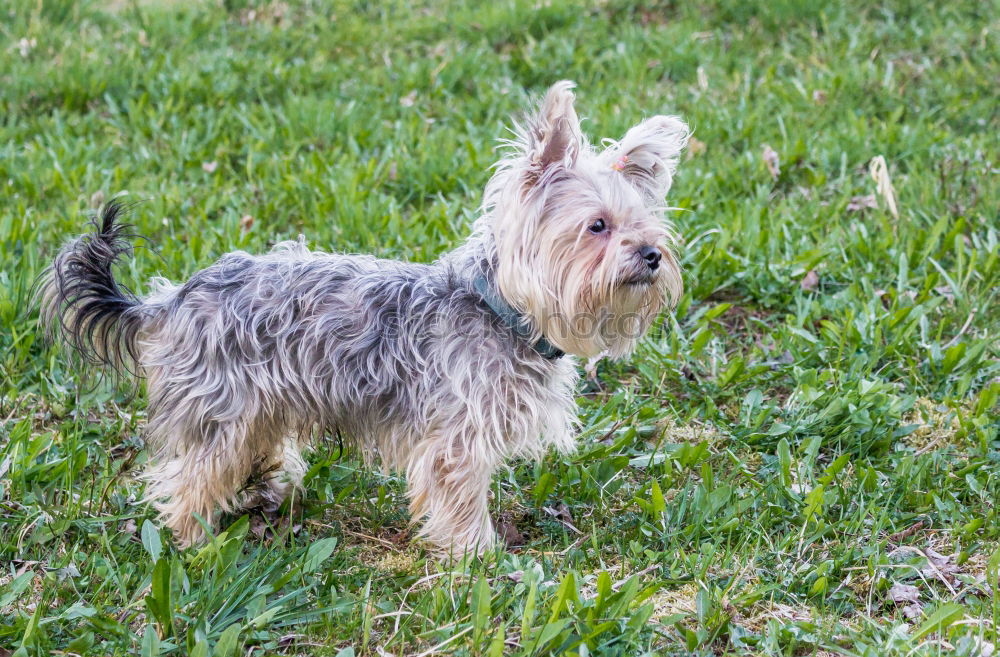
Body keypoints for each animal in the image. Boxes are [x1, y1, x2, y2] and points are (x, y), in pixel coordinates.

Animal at [43, 82, 692, 552]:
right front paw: (479, 561)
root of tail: (173, 298)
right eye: (597, 226)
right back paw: (193, 544)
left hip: (258, 407)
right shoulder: (455, 444)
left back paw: (266, 490)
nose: (652, 255)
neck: (504, 311)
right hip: (224, 409)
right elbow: (461, 501)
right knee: (186, 479)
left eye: (647, 225)